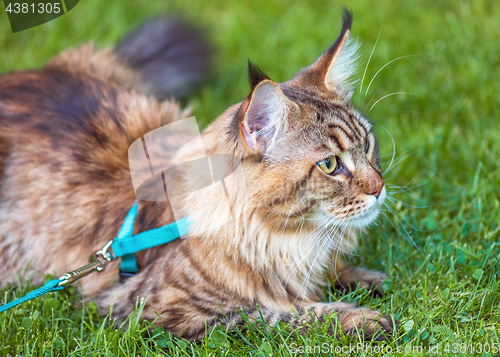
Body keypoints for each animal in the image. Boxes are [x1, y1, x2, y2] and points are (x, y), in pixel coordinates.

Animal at [0, 9, 394, 340]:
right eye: (329, 165)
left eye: (368, 144)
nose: (379, 188)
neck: (285, 238)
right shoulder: (153, 308)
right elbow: (274, 312)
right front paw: (359, 317)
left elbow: (325, 274)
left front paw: (364, 278)